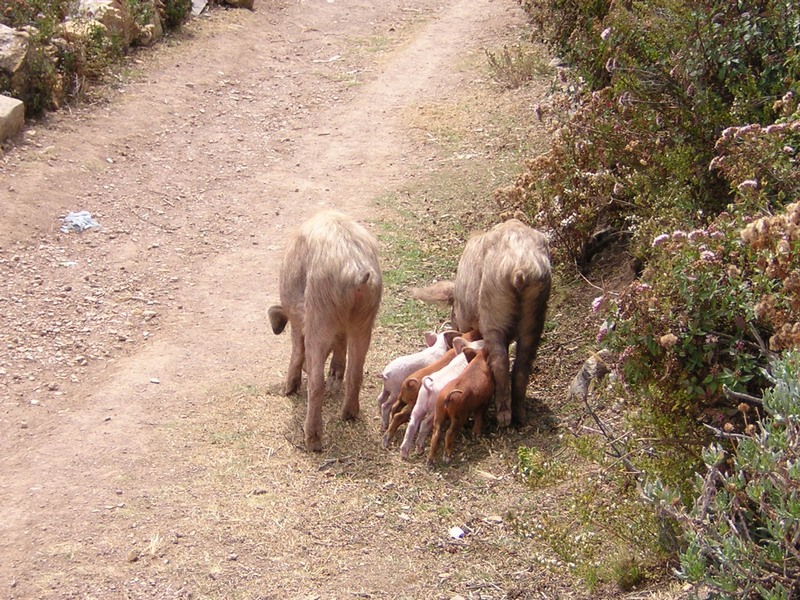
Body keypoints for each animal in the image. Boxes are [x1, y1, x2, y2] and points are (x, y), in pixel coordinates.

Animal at [268, 211, 382, 450]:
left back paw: (312, 441)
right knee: (356, 371)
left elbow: (297, 348)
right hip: (366, 315)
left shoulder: (298, 317)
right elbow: (340, 344)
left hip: (319, 311)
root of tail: (356, 271)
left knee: (316, 381)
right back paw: (348, 415)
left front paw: (286, 392)